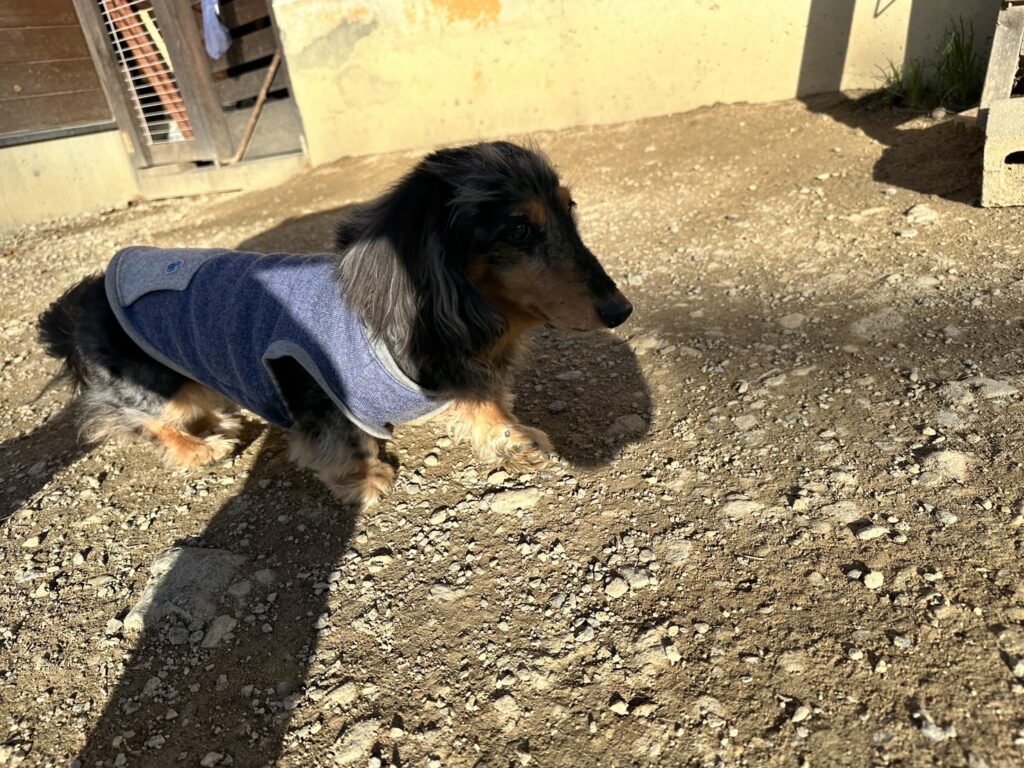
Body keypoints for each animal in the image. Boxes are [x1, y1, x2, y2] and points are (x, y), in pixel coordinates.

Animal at [37, 141, 633, 505]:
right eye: (518, 229)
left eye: (569, 209)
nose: (621, 310)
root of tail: (79, 304)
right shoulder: (323, 404)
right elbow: (342, 447)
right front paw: (365, 479)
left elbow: (484, 406)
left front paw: (513, 435)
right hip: (154, 382)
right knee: (133, 420)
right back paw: (195, 448)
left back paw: (218, 427)